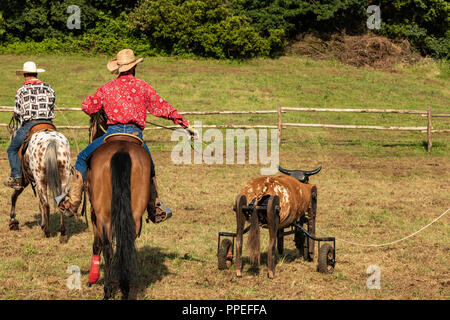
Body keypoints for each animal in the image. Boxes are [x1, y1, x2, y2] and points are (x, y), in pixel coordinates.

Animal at [85, 111, 152, 298]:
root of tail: (122, 150)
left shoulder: (93, 213)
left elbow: (97, 244)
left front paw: (92, 278)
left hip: (103, 215)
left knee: (107, 246)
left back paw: (108, 289)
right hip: (135, 215)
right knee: (125, 244)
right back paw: (124, 287)